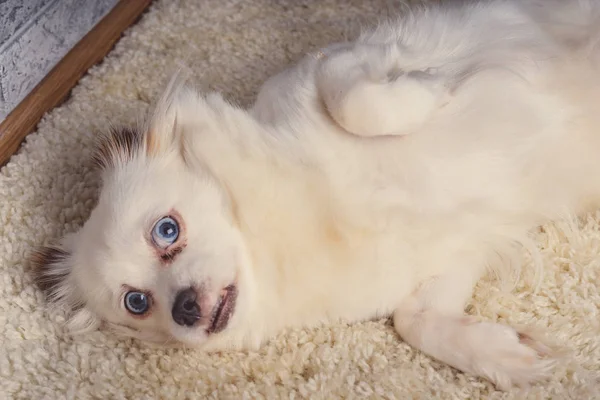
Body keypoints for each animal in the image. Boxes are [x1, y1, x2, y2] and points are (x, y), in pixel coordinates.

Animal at [31, 0, 600, 390]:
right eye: (137, 302)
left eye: (166, 230)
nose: (186, 308)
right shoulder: (453, 256)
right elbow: (415, 320)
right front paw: (512, 356)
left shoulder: (338, 63)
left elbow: (353, 95)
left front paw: (433, 89)